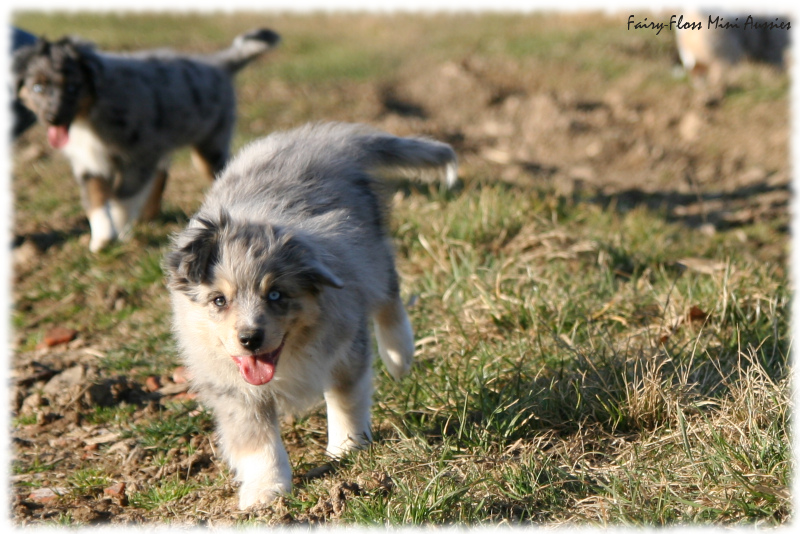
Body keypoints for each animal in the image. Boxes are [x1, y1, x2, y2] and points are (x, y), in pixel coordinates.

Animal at [11, 28, 282, 254]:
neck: (89, 114)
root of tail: (217, 64)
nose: (52, 118)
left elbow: (122, 198)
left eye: (73, 88)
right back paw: (148, 215)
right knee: (162, 172)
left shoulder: (138, 154)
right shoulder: (90, 161)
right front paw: (101, 240)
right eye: (38, 87)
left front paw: (121, 232)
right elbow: (95, 200)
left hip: (211, 143)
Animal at [164, 121, 456, 510]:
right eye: (219, 301)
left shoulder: (345, 343)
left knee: (388, 293)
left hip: (373, 252)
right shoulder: (232, 388)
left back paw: (399, 354)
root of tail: (319, 139)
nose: (250, 340)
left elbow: (346, 398)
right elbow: (257, 441)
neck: (289, 353)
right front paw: (265, 491)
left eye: (276, 295)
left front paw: (347, 448)